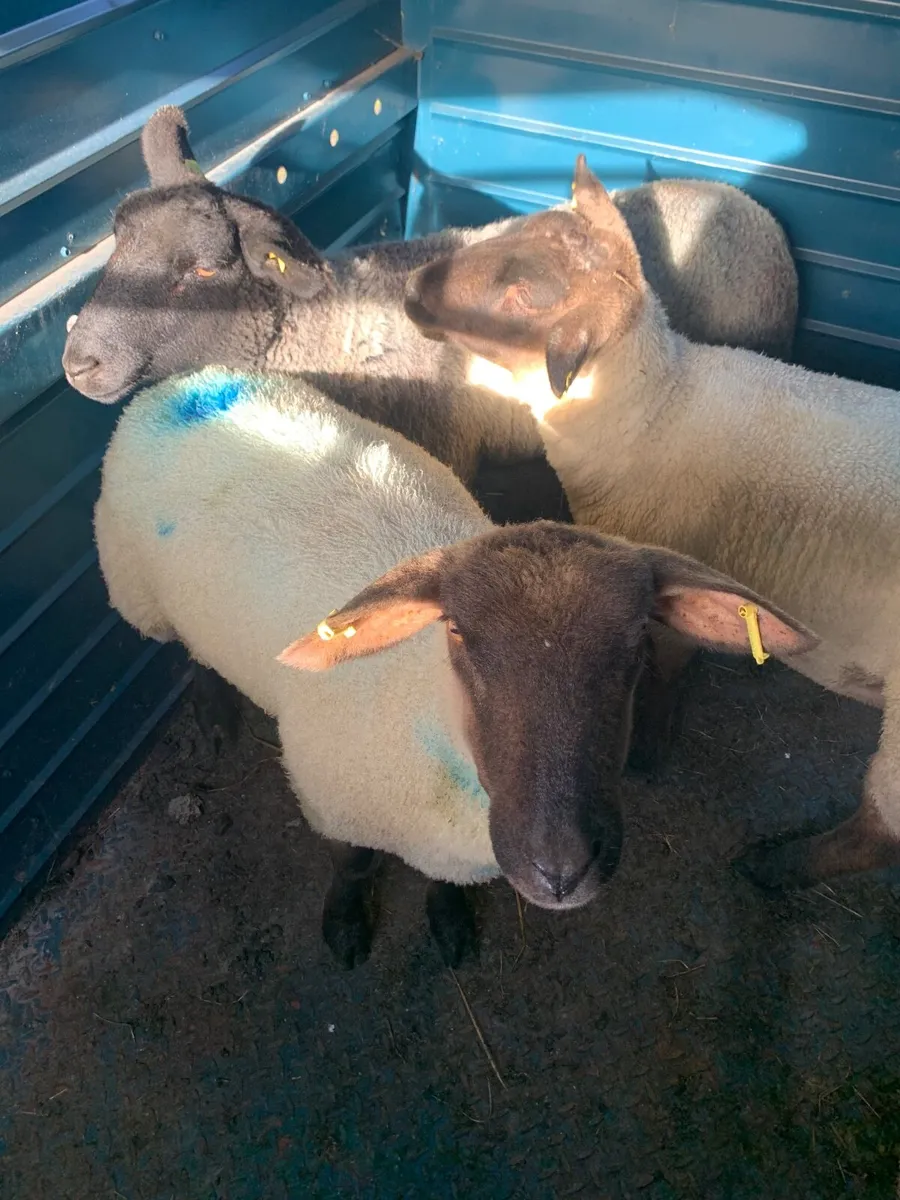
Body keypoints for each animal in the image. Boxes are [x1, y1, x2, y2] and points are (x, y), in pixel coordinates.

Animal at [94, 364, 814, 966]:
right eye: (459, 634)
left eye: (639, 642)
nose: (561, 869)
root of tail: (189, 378)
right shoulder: (332, 802)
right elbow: (353, 866)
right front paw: (345, 926)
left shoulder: (454, 853)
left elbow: (443, 888)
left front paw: (450, 927)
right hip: (139, 592)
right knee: (184, 651)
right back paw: (213, 716)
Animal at [402, 153, 900, 895]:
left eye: (520, 300)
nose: (409, 288)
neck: (651, 409)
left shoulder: (670, 576)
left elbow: (666, 667)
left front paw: (648, 747)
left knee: (878, 832)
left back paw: (778, 866)